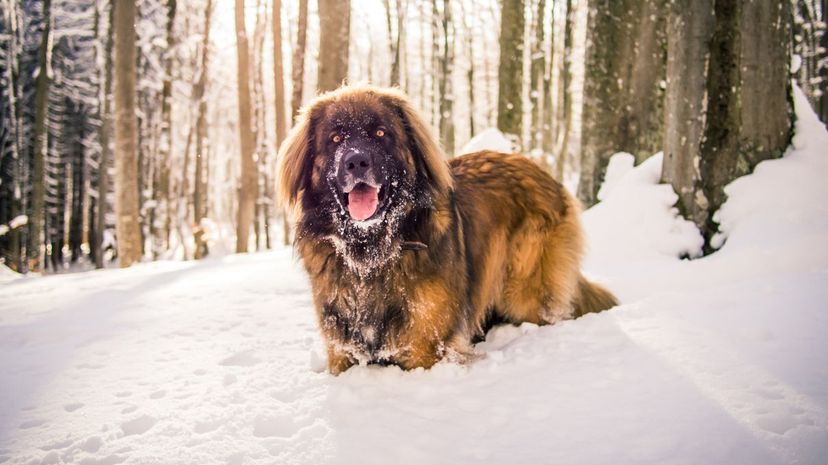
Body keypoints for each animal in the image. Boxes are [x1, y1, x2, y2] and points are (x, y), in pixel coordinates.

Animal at [274, 83, 616, 374]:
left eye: (380, 133)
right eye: (335, 139)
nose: (356, 162)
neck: (372, 252)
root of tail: (543, 171)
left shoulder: (425, 350)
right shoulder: (341, 351)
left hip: (525, 291)